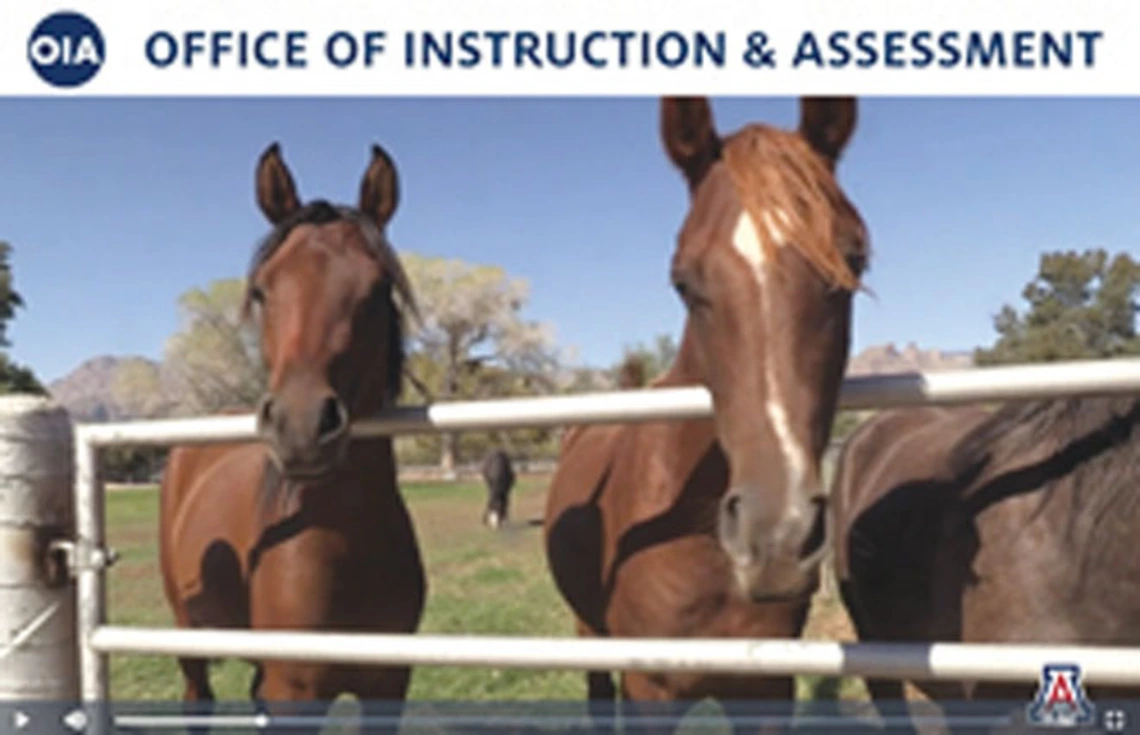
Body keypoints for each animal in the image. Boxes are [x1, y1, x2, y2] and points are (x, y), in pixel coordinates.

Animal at [159, 140, 428, 724]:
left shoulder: (388, 686)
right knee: (197, 699)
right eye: (262, 291)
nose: (301, 426)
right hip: (190, 635)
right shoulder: (295, 693)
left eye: (379, 289)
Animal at [547, 96, 866, 729]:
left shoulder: (767, 692)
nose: (777, 539)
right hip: (589, 634)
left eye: (853, 264)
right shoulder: (649, 691)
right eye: (682, 282)